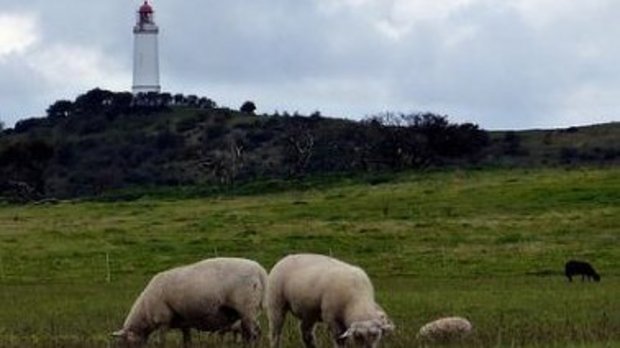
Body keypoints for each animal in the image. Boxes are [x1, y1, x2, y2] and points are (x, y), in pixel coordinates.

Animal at [111, 256, 266, 346]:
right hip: (249, 311)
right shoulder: (184, 322)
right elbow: (187, 340)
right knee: (256, 332)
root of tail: (260, 270)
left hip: (246, 307)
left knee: (252, 334)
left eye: (125, 344)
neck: (145, 311)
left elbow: (161, 342)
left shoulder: (163, 320)